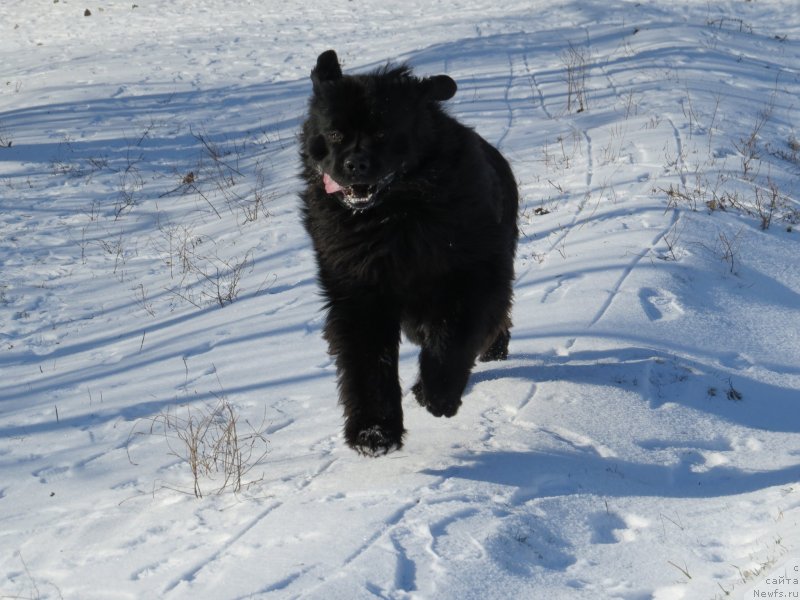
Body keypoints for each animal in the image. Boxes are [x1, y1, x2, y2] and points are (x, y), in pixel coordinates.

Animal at [300, 50, 520, 454]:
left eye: (382, 134)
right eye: (335, 134)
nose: (355, 164)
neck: (393, 218)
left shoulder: (473, 273)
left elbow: (456, 335)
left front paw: (438, 394)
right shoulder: (358, 291)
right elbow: (367, 361)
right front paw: (374, 432)